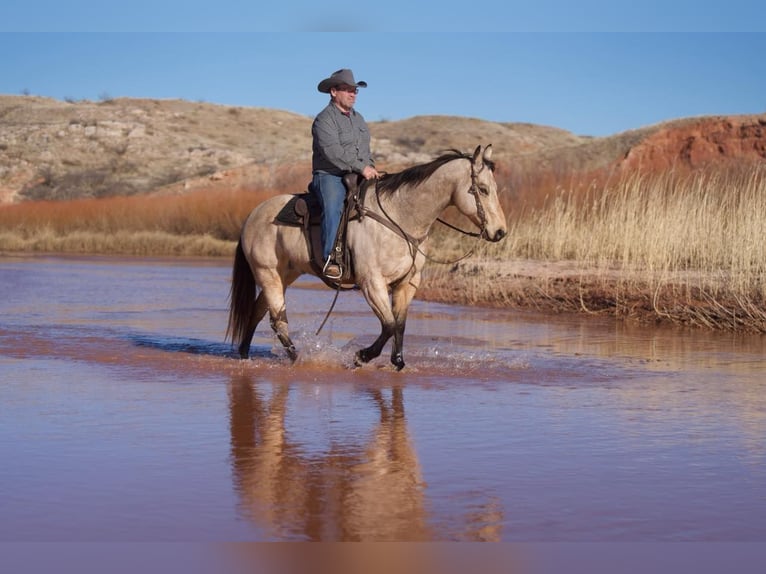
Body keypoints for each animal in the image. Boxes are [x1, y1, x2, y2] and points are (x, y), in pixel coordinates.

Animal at [225, 143, 508, 368]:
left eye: (495, 188)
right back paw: (298, 359)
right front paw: (362, 356)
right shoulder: (372, 283)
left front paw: (397, 362)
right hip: (268, 273)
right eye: (482, 189)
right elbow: (389, 324)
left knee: (257, 312)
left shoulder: (408, 283)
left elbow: (400, 323)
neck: (399, 217)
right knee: (277, 320)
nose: (500, 232)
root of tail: (253, 215)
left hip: (284, 275)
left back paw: (245, 354)